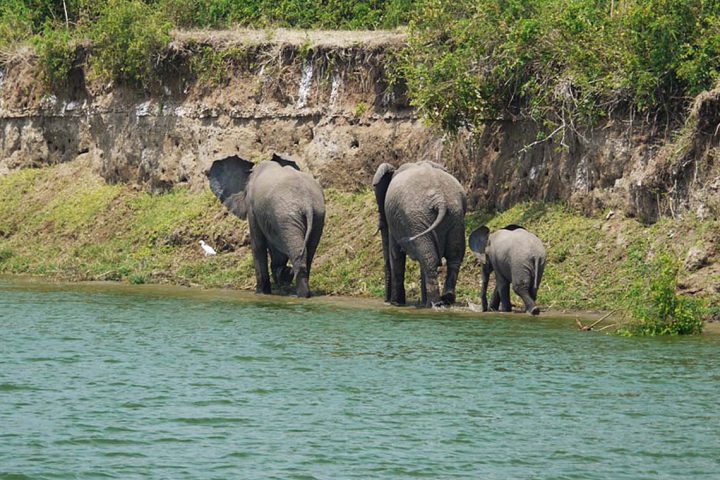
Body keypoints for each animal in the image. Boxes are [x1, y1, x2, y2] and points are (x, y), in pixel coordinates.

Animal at [205, 154, 324, 296]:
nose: (284, 274)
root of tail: (307, 203)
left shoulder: (252, 207)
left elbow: (258, 245)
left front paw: (261, 293)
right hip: (316, 216)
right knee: (308, 253)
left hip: (287, 216)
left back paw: (300, 294)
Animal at [372, 161, 466, 308]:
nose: (386, 301)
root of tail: (440, 200)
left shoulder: (396, 219)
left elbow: (395, 254)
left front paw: (396, 303)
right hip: (455, 216)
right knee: (454, 257)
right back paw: (444, 299)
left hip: (416, 217)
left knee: (429, 257)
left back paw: (434, 303)